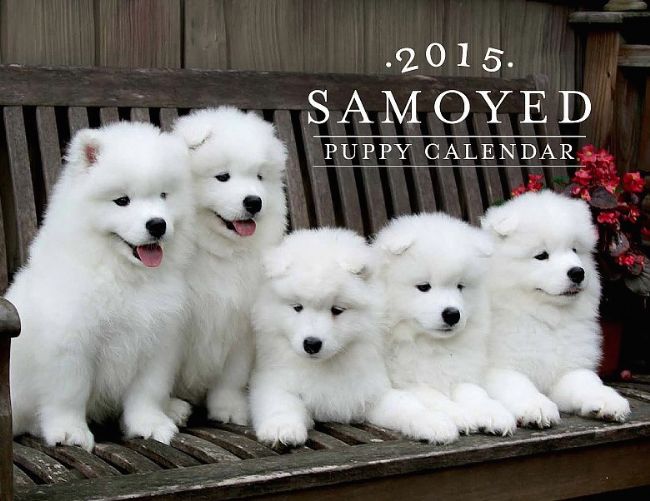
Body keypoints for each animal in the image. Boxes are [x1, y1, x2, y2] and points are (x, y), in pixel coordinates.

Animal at [9, 122, 192, 450]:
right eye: (122, 201)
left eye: (163, 196)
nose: (157, 224)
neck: (120, 273)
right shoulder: (71, 343)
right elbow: (70, 392)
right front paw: (70, 432)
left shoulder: (159, 341)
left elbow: (147, 392)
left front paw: (150, 424)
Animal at [170, 107, 286, 424]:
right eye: (222, 177)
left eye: (259, 176)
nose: (254, 201)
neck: (219, 253)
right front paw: (167, 408)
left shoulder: (241, 327)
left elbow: (231, 376)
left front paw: (229, 409)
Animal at [248, 227, 450, 446]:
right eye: (297, 307)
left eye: (337, 310)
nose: (311, 344)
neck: (326, 365)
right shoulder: (272, 378)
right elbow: (280, 402)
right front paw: (281, 428)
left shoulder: (370, 392)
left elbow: (406, 406)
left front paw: (433, 422)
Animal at [372, 213, 512, 436]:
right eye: (423, 287)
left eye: (460, 286)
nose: (452, 314)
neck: (432, 345)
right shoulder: (407, 382)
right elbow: (435, 398)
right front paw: (459, 416)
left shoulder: (462, 371)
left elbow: (474, 392)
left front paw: (492, 413)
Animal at [480, 191, 628, 426]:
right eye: (541, 255)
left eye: (574, 250)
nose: (577, 272)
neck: (546, 319)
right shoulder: (497, 369)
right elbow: (518, 384)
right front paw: (537, 407)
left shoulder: (569, 369)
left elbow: (586, 381)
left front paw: (606, 400)